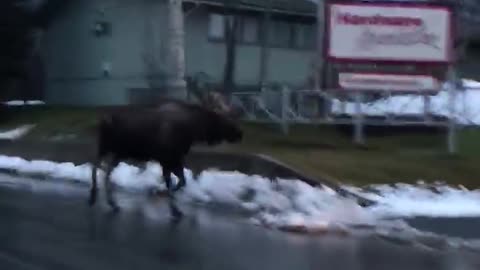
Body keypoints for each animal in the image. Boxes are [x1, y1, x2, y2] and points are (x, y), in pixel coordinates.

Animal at [87, 99, 242, 211]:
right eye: (222, 118)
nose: (239, 133)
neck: (192, 130)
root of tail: (103, 120)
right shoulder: (167, 159)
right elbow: (173, 183)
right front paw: (173, 208)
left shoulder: (175, 159)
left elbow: (181, 181)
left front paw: (166, 196)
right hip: (107, 148)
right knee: (96, 167)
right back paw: (94, 196)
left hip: (117, 153)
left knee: (105, 172)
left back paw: (111, 203)